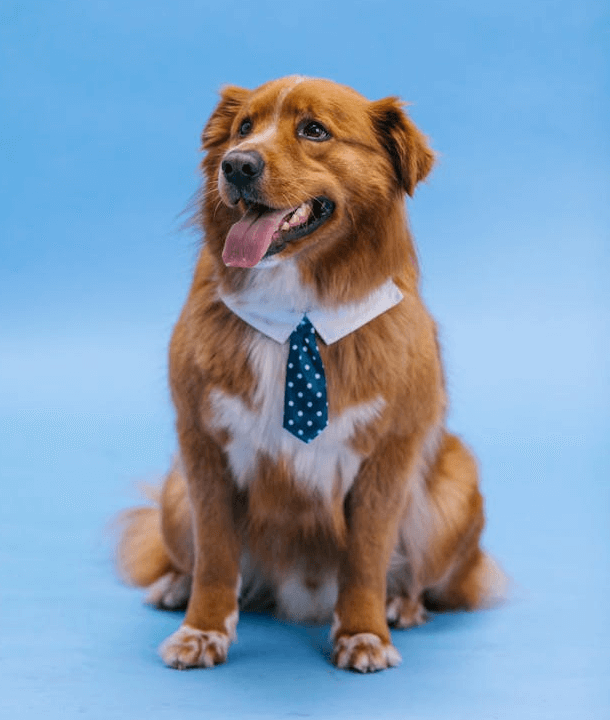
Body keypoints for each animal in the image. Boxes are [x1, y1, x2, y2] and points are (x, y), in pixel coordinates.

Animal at [115, 76, 504, 672]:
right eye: (243, 128)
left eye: (314, 130)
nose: (237, 164)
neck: (296, 303)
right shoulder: (202, 446)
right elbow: (217, 557)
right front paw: (202, 629)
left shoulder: (389, 454)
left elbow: (366, 556)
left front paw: (364, 632)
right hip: (175, 494)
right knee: (195, 559)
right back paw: (175, 586)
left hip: (454, 489)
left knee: (419, 575)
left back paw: (402, 604)